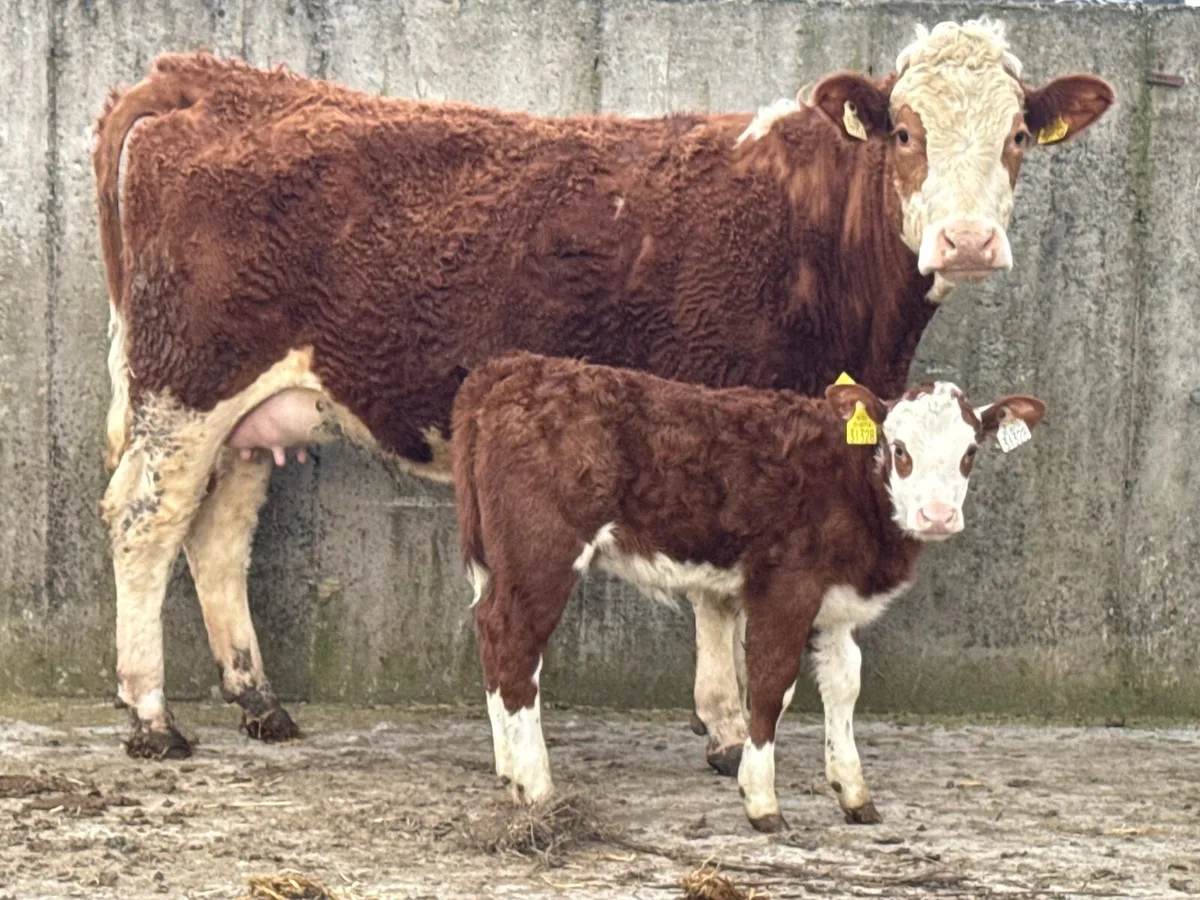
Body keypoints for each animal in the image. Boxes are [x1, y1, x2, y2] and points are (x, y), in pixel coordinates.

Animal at [92, 18, 1109, 762]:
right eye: (905, 132)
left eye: (1019, 134)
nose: (967, 241)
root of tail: (209, 79)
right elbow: (721, 596)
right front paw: (728, 730)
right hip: (186, 385)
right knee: (146, 523)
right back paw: (152, 720)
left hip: (250, 409)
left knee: (217, 538)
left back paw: (259, 703)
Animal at [451, 352, 1047, 831]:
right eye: (899, 448)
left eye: (970, 452)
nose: (938, 516)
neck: (852, 481)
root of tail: (509, 369)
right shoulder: (785, 589)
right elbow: (769, 685)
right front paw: (761, 800)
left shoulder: (836, 604)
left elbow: (844, 686)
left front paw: (854, 793)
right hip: (542, 552)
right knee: (515, 644)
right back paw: (537, 786)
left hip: (506, 560)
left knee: (490, 634)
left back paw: (509, 773)